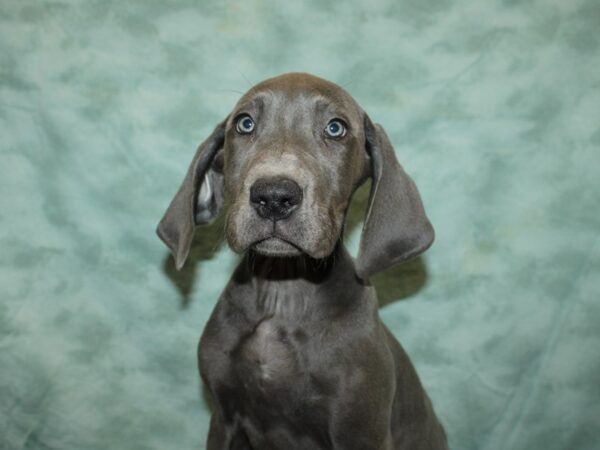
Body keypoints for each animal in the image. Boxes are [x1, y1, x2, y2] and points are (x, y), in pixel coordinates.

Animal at [157, 72, 448, 448]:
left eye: (336, 128)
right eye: (245, 124)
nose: (273, 196)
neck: (283, 291)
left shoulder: (359, 431)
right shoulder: (224, 418)